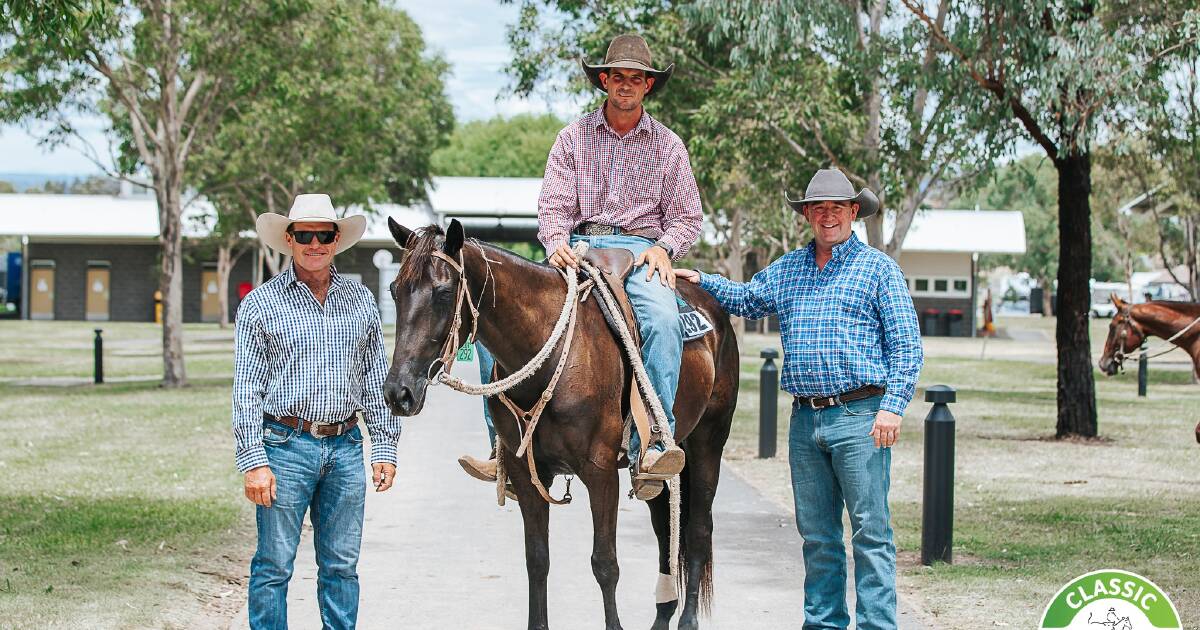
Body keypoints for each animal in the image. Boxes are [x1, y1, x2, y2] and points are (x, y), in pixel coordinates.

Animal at [381, 219, 739, 628]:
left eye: (442, 293)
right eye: (394, 291)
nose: (398, 392)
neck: (550, 358)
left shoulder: (600, 472)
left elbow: (605, 564)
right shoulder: (526, 472)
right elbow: (537, 560)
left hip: (709, 441)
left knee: (697, 528)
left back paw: (687, 618)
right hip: (653, 475)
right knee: (666, 526)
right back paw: (663, 614)